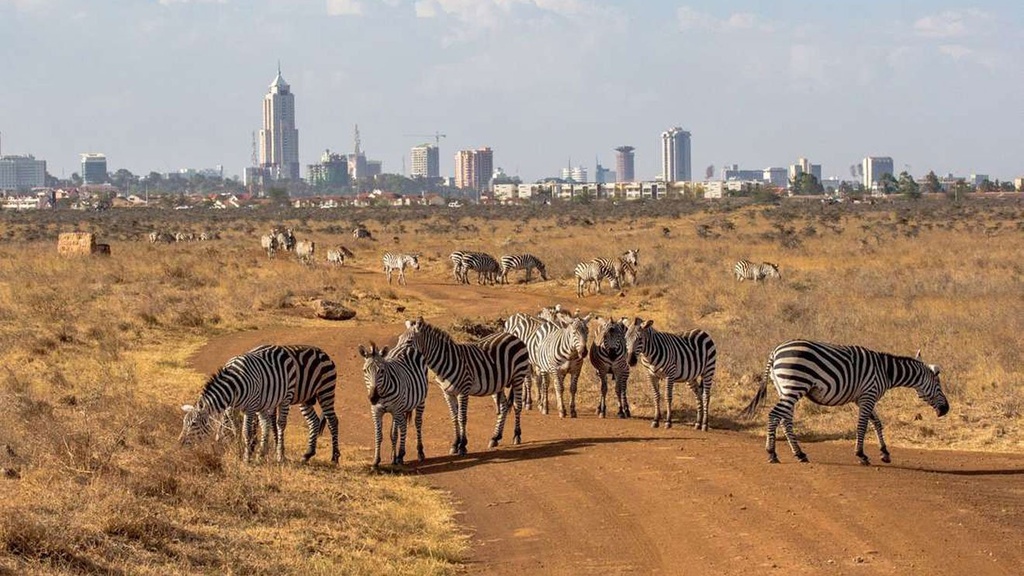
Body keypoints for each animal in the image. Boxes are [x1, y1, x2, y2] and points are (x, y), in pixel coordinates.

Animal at [180, 344, 339, 461]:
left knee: (331, 421)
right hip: (305, 399)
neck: (233, 385)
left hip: (323, 391)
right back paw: (307, 454)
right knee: (313, 421)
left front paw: (248, 454)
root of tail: (323, 353)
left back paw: (334, 457)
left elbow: (249, 429)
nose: (180, 443)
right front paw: (241, 449)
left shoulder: (253, 406)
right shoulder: (234, 407)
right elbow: (237, 427)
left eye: (193, 424)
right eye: (184, 422)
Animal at [358, 334, 425, 469]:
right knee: (401, 426)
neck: (383, 393)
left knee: (417, 423)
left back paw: (418, 452)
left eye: (382, 371)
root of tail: (406, 346)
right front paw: (376, 461)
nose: (373, 397)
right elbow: (379, 435)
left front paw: (396, 458)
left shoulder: (396, 410)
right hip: (402, 407)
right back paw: (398, 455)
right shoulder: (376, 411)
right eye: (365, 370)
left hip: (419, 401)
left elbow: (396, 433)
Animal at [401, 313, 532, 453]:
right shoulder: (447, 393)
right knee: (503, 406)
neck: (446, 361)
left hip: (518, 377)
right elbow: (454, 418)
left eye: (409, 341)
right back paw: (495, 437)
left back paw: (517, 435)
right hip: (498, 384)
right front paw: (455, 444)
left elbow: (462, 417)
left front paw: (463, 445)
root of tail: (512, 336)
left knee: (517, 406)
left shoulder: (463, 390)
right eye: (399, 339)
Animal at [745, 338, 950, 463]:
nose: (946, 409)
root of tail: (775, 351)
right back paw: (772, 453)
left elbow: (877, 423)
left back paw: (800, 454)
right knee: (774, 415)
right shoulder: (868, 395)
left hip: (785, 388)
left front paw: (885, 453)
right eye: (939, 386)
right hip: (794, 385)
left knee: (785, 419)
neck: (887, 371)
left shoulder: (863, 398)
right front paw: (861, 455)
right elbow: (863, 425)